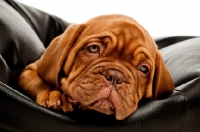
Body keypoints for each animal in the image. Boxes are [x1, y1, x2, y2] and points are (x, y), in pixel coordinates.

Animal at [19, 14, 175, 119]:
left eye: (143, 69)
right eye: (93, 48)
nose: (115, 77)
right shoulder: (30, 70)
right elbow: (39, 81)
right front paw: (52, 92)